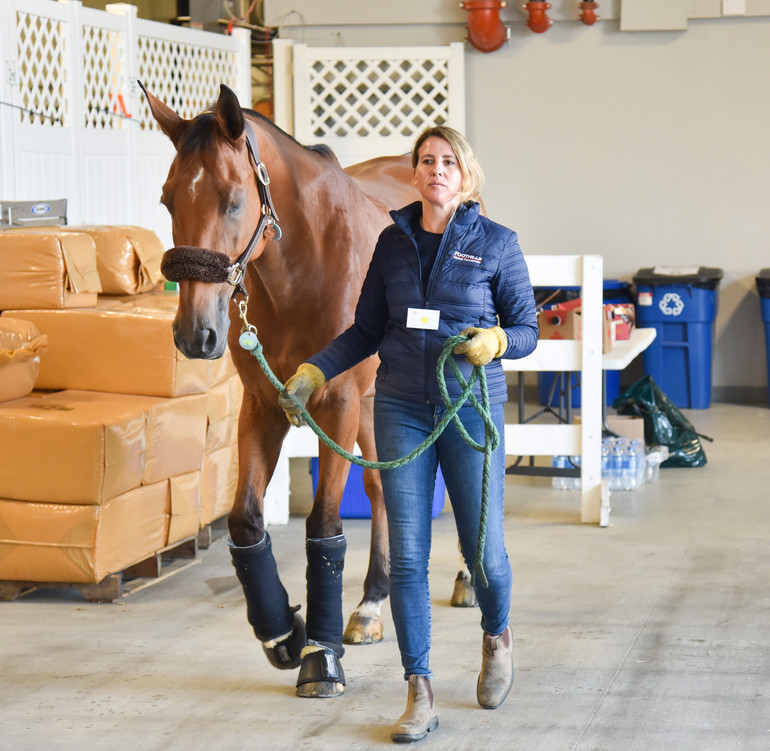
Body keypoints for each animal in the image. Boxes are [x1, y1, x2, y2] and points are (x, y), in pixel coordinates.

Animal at [139, 82, 424, 700]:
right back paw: (371, 604)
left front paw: (321, 656)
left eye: (232, 199)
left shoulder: (336, 406)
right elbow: (246, 520)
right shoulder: (265, 407)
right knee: (383, 488)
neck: (306, 266)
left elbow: (325, 526)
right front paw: (285, 634)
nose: (196, 334)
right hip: (375, 405)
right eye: (168, 201)